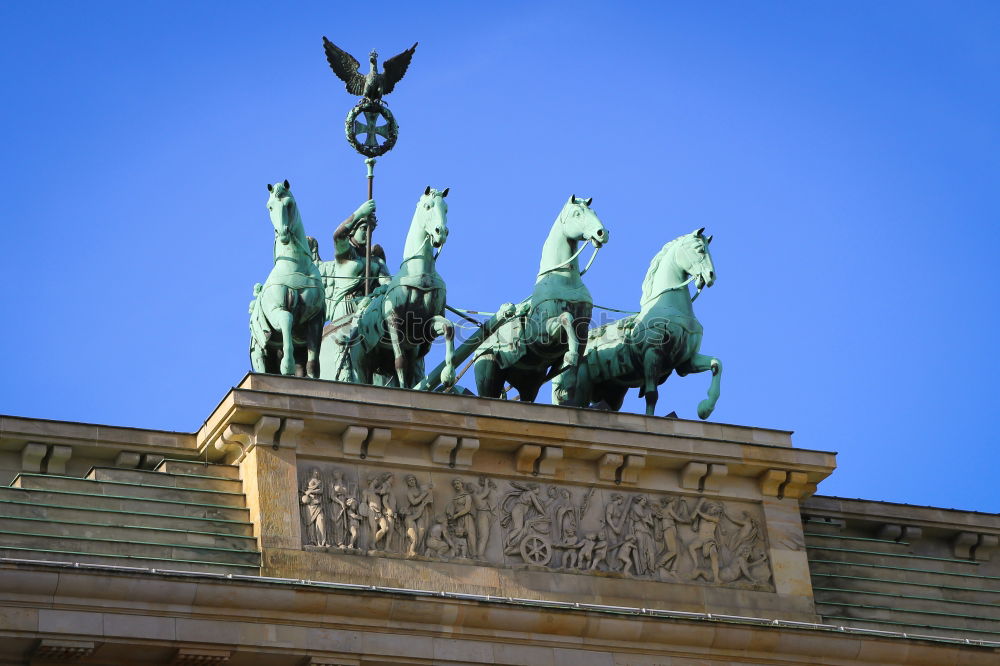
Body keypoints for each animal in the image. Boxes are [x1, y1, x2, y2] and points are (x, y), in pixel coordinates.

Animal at [249, 182, 324, 376]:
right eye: (270, 207)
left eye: (289, 204)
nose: (282, 233)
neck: (295, 265)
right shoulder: (278, 310)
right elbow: (287, 319)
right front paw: (286, 365)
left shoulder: (315, 319)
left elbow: (313, 360)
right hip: (259, 351)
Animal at [346, 185, 452, 384]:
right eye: (427, 206)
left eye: (446, 209)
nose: (440, 232)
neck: (421, 272)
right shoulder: (393, 321)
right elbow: (400, 361)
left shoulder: (425, 327)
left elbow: (448, 328)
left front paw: (448, 374)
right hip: (361, 363)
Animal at [476, 195, 608, 402]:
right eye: (577, 213)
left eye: (594, 212)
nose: (602, 233)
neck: (564, 280)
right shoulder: (541, 334)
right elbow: (565, 318)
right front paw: (569, 355)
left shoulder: (583, 330)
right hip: (487, 371)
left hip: (529, 382)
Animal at [580, 227, 720, 416]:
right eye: (700, 249)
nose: (711, 276)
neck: (669, 305)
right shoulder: (652, 354)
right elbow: (652, 395)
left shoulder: (685, 361)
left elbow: (716, 364)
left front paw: (705, 408)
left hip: (613, 392)